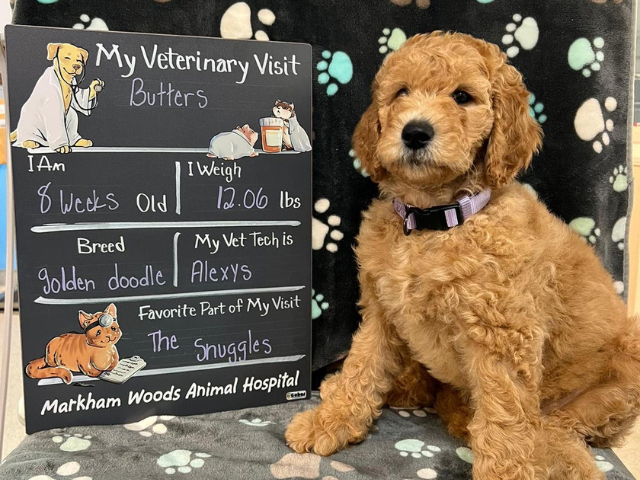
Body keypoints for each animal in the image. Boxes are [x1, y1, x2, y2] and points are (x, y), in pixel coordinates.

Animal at [286, 32, 640, 480]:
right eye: (401, 92)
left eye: (462, 97)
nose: (415, 132)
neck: (433, 220)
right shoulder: (383, 311)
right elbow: (363, 366)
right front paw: (330, 419)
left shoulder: (501, 336)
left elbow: (505, 417)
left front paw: (506, 471)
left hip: (615, 376)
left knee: (555, 430)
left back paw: (558, 456)